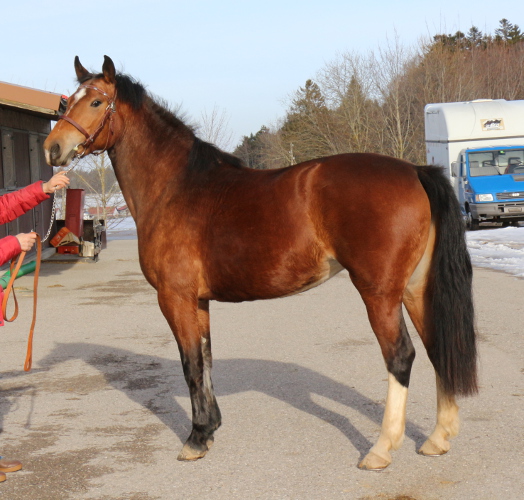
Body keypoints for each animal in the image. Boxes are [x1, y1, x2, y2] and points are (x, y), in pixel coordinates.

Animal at [45, 56, 478, 470]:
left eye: (96, 101)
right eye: (67, 101)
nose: (53, 148)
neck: (176, 188)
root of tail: (415, 171)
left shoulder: (174, 297)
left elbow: (190, 364)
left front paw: (195, 440)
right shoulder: (198, 300)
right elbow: (205, 359)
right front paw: (210, 428)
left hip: (380, 292)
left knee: (400, 355)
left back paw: (381, 449)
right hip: (415, 287)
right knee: (437, 345)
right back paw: (437, 439)